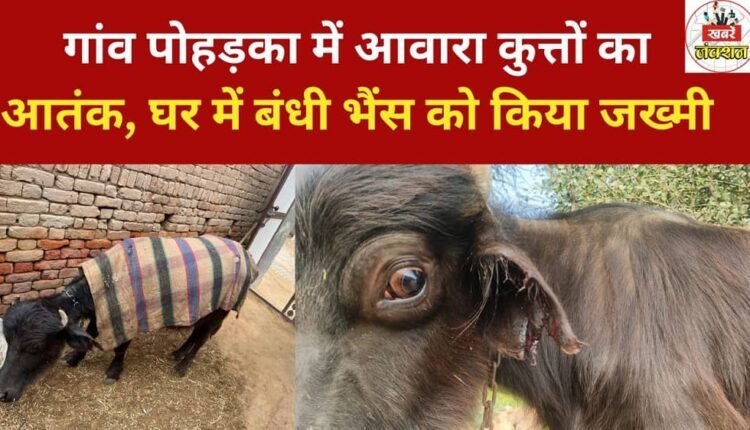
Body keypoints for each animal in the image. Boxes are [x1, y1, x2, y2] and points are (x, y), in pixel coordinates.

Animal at [0, 235, 257, 402]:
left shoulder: (130, 319)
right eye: (8, 342)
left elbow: (120, 348)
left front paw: (113, 372)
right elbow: (90, 336)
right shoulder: (99, 314)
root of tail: (245, 253)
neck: (106, 281)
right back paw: (177, 353)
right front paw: (74, 358)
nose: (3, 393)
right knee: (196, 333)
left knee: (202, 337)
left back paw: (183, 365)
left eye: (34, 348)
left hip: (220, 310)